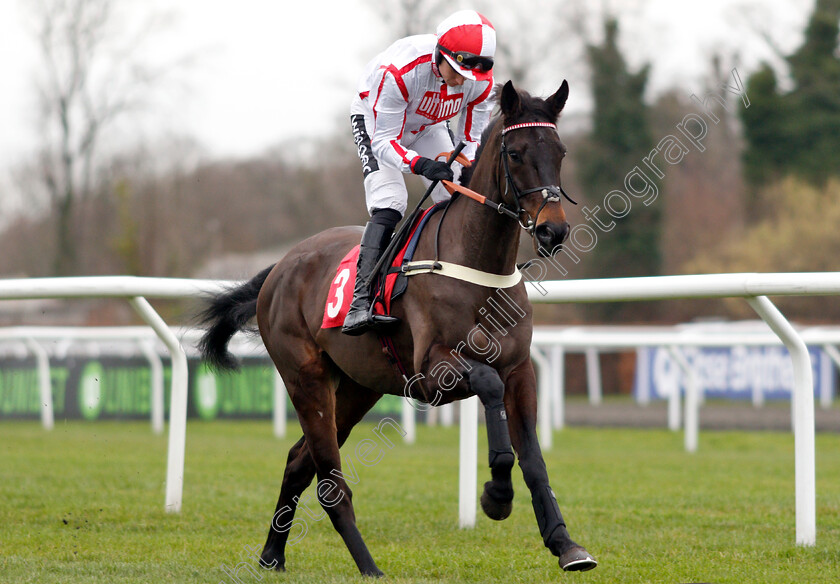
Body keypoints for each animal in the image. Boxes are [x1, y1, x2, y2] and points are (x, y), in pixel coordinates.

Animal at [199, 80, 596, 576]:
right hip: (305, 378)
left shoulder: (519, 370)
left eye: (560, 152)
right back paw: (369, 566)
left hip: (358, 386)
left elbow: (534, 459)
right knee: (329, 483)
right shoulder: (432, 374)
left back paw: (272, 555)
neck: (476, 265)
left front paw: (566, 545)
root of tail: (280, 266)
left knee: (297, 461)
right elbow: (488, 388)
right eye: (517, 152)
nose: (552, 231)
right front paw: (496, 496)